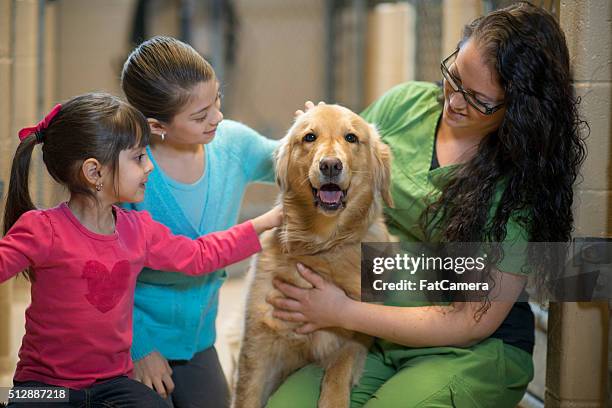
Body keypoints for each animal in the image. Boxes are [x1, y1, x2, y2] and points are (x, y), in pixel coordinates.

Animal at [232, 103, 394, 406]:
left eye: (351, 137)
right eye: (309, 137)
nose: (330, 165)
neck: (322, 244)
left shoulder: (359, 328)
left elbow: (341, 365)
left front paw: (333, 398)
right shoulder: (259, 342)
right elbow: (247, 395)